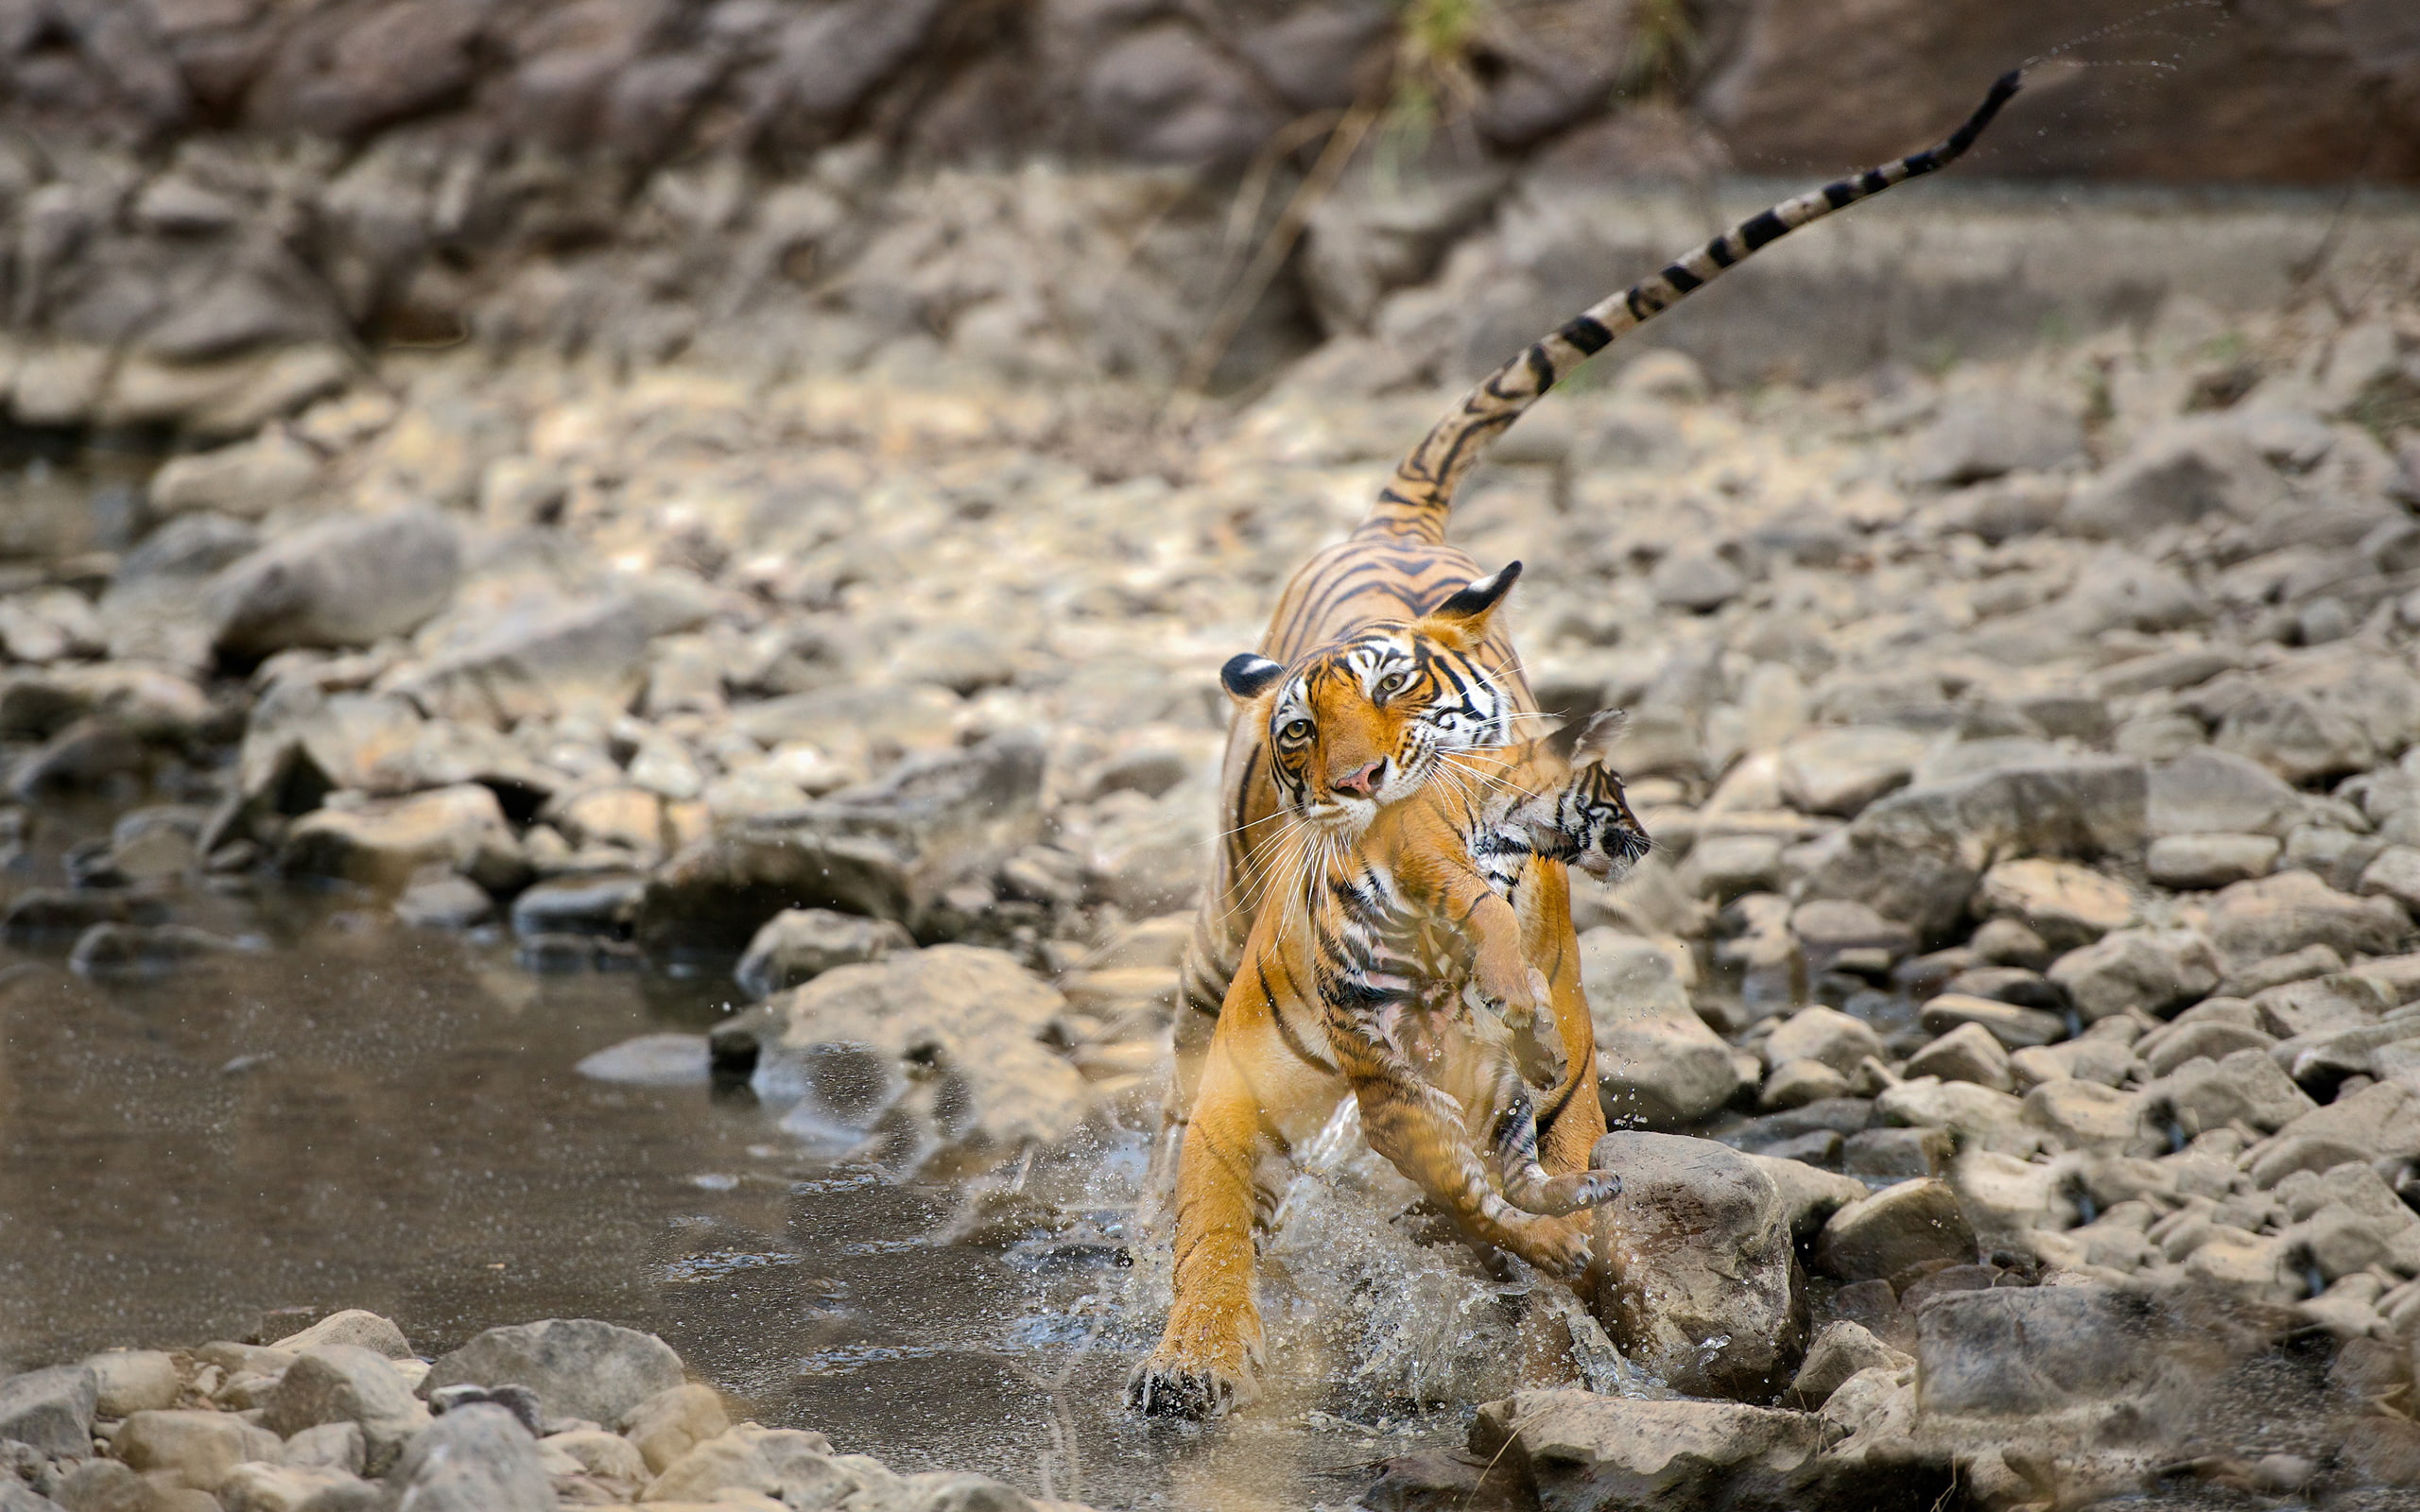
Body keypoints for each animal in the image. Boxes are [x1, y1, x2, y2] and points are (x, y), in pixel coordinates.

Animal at [1129, 70, 2023, 1419]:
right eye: (1301, 731)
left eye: (1404, 698)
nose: (1359, 784)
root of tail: (1392, 529)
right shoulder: (1274, 1091)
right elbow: (1217, 1227)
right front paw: (1191, 1353)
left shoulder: (1528, 1075)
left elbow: (1541, 1206)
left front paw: (1600, 1320)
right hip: (1211, 948)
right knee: (1181, 1111)